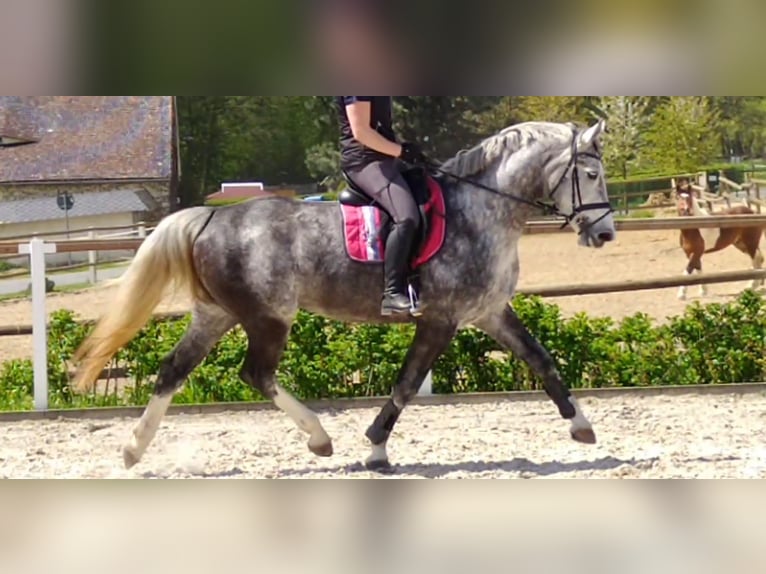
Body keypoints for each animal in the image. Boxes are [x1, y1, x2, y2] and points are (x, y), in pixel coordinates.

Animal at [72, 119, 616, 472]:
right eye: (591, 175)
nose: (605, 234)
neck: (481, 212)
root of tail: (209, 216)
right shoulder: (440, 319)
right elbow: (405, 384)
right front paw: (375, 449)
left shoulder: (490, 312)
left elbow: (542, 360)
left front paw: (582, 426)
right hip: (268, 316)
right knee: (256, 373)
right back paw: (319, 437)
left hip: (216, 314)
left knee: (173, 370)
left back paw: (133, 449)